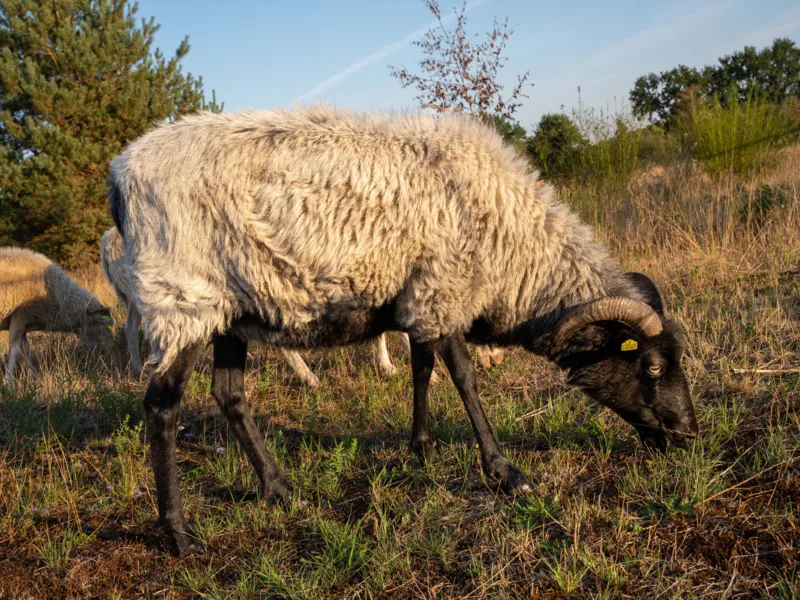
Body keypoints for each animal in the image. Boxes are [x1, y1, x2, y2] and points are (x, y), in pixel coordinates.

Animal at [1, 247, 113, 390]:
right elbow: (14, 351)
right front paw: (8, 384)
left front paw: (33, 380)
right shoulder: (18, 318)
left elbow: (26, 351)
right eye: (107, 328)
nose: (110, 353)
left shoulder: (24, 324)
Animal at [108, 105, 698, 555]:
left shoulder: (422, 297)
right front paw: (505, 472)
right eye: (651, 366)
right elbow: (463, 376)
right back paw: (180, 535)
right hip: (182, 300)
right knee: (162, 408)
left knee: (229, 395)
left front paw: (422, 449)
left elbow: (422, 367)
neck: (516, 253)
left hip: (231, 308)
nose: (689, 437)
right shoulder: (445, 286)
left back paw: (279, 489)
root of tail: (120, 176)